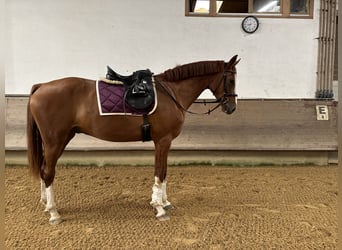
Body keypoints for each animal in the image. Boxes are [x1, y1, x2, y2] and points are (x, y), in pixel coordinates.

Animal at [26, 55, 239, 225]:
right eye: (230, 79)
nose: (231, 108)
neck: (172, 93)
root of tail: (42, 87)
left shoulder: (165, 142)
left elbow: (164, 172)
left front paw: (165, 202)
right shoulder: (163, 140)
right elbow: (159, 173)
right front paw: (159, 208)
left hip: (60, 139)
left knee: (44, 170)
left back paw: (46, 204)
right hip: (55, 141)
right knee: (48, 172)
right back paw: (54, 213)